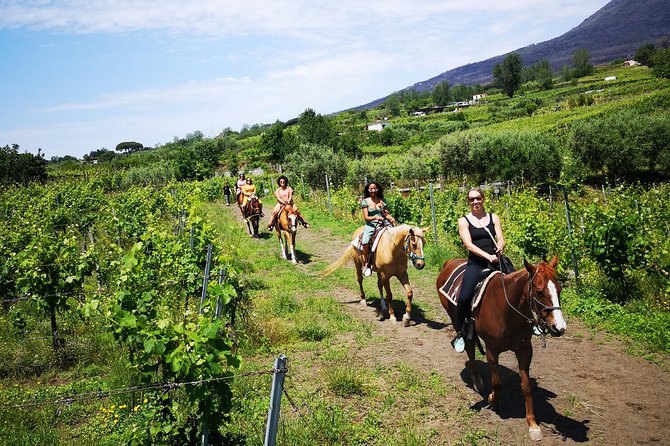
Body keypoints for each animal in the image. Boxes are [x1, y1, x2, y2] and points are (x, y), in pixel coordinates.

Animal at [436, 256, 568, 440]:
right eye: (540, 292)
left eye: (559, 289)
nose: (559, 327)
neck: (507, 309)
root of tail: (450, 262)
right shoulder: (492, 350)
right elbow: (497, 383)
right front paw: (493, 400)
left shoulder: (524, 350)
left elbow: (526, 386)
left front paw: (532, 424)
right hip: (455, 319)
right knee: (469, 347)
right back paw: (477, 381)